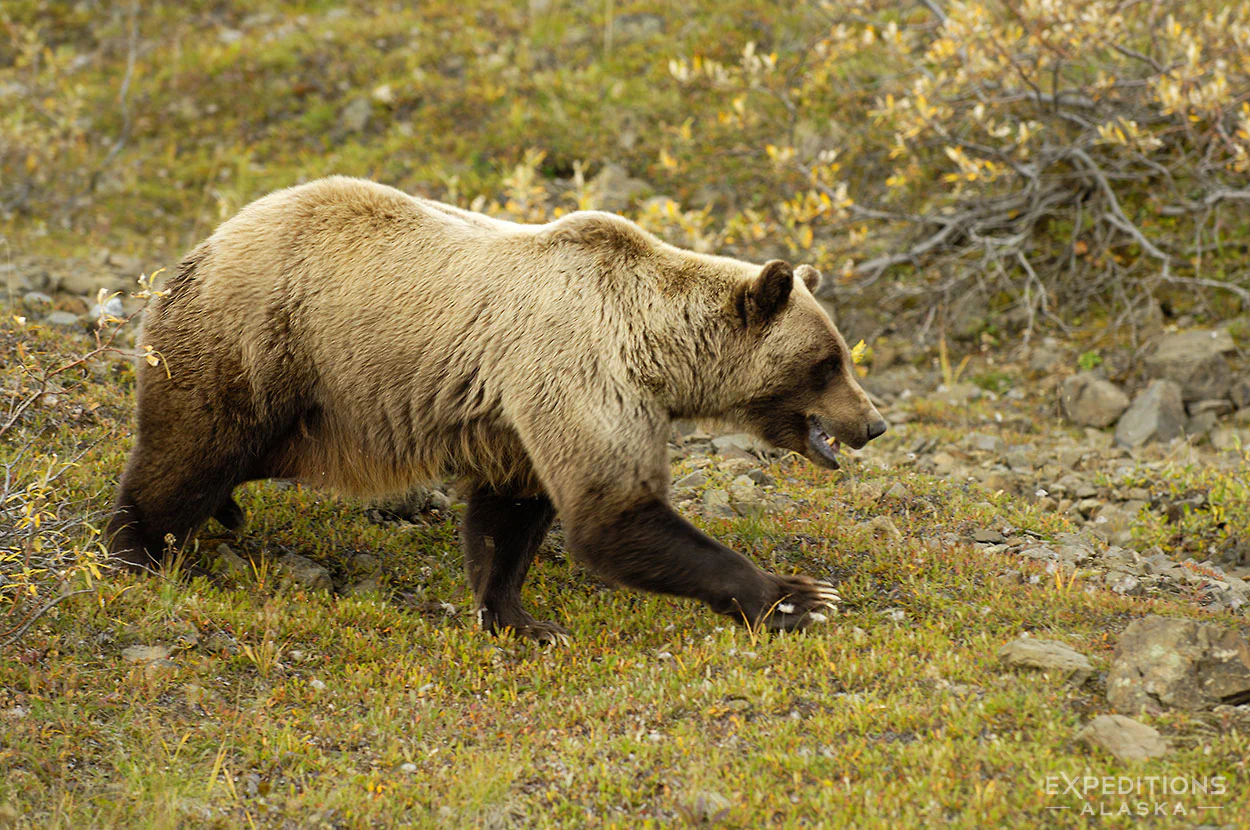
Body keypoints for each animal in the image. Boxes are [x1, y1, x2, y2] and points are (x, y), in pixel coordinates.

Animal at [107, 176, 887, 642]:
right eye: (828, 362)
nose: (872, 422)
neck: (655, 350)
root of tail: (201, 247)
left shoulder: (515, 414)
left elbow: (510, 514)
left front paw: (517, 616)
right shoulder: (577, 366)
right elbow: (613, 515)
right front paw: (798, 595)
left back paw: (221, 513)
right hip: (262, 343)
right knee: (191, 451)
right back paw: (137, 553)